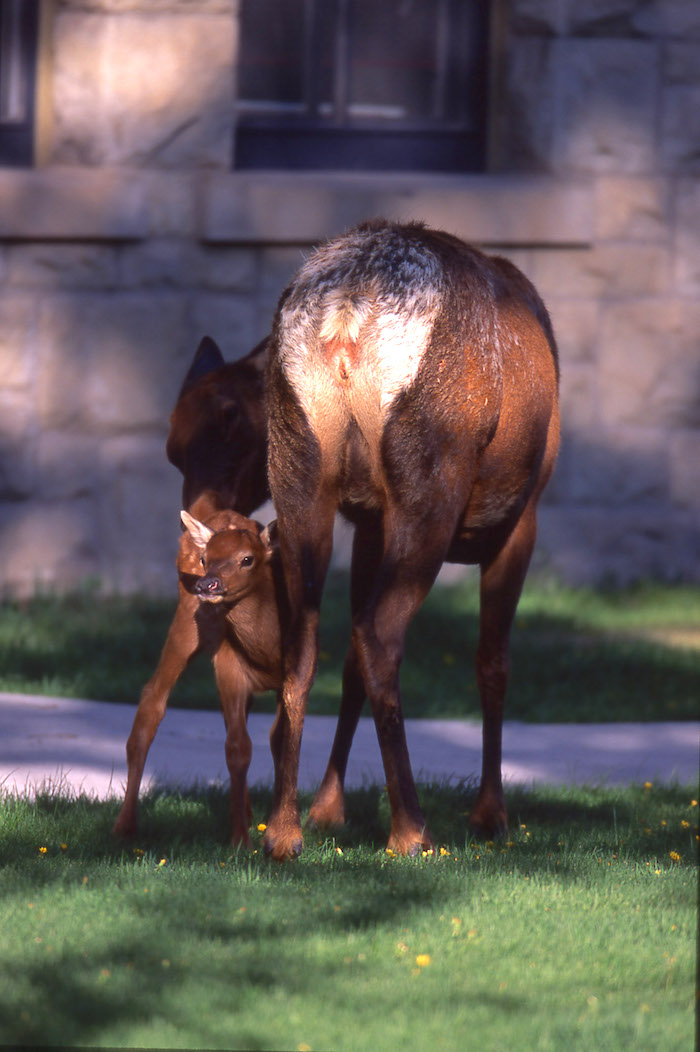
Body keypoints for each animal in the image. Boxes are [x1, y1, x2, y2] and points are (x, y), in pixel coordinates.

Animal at [112, 500, 282, 846]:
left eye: (248, 558)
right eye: (206, 559)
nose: (207, 584)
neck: (267, 650)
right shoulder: (229, 662)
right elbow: (239, 747)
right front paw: (241, 842)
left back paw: (247, 814)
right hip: (187, 622)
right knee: (152, 699)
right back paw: (124, 825)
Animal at [263, 218, 560, 860]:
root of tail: (345, 319)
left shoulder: (369, 520)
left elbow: (348, 663)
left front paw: (329, 808)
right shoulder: (522, 516)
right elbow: (493, 662)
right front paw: (492, 815)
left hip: (296, 462)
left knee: (307, 639)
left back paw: (283, 829)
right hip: (431, 472)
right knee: (380, 634)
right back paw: (412, 829)